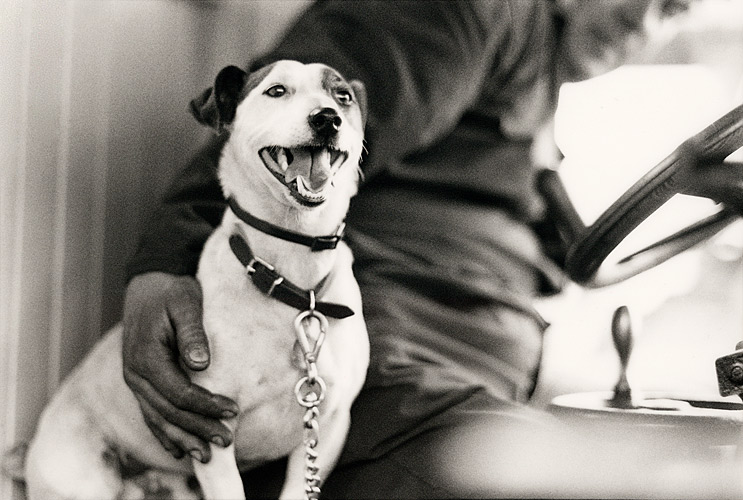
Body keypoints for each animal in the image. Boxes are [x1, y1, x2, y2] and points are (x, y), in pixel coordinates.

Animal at [21, 60, 370, 498]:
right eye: (276, 91)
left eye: (343, 96)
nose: (327, 118)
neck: (293, 280)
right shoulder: (212, 432)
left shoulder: (330, 426)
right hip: (81, 479)